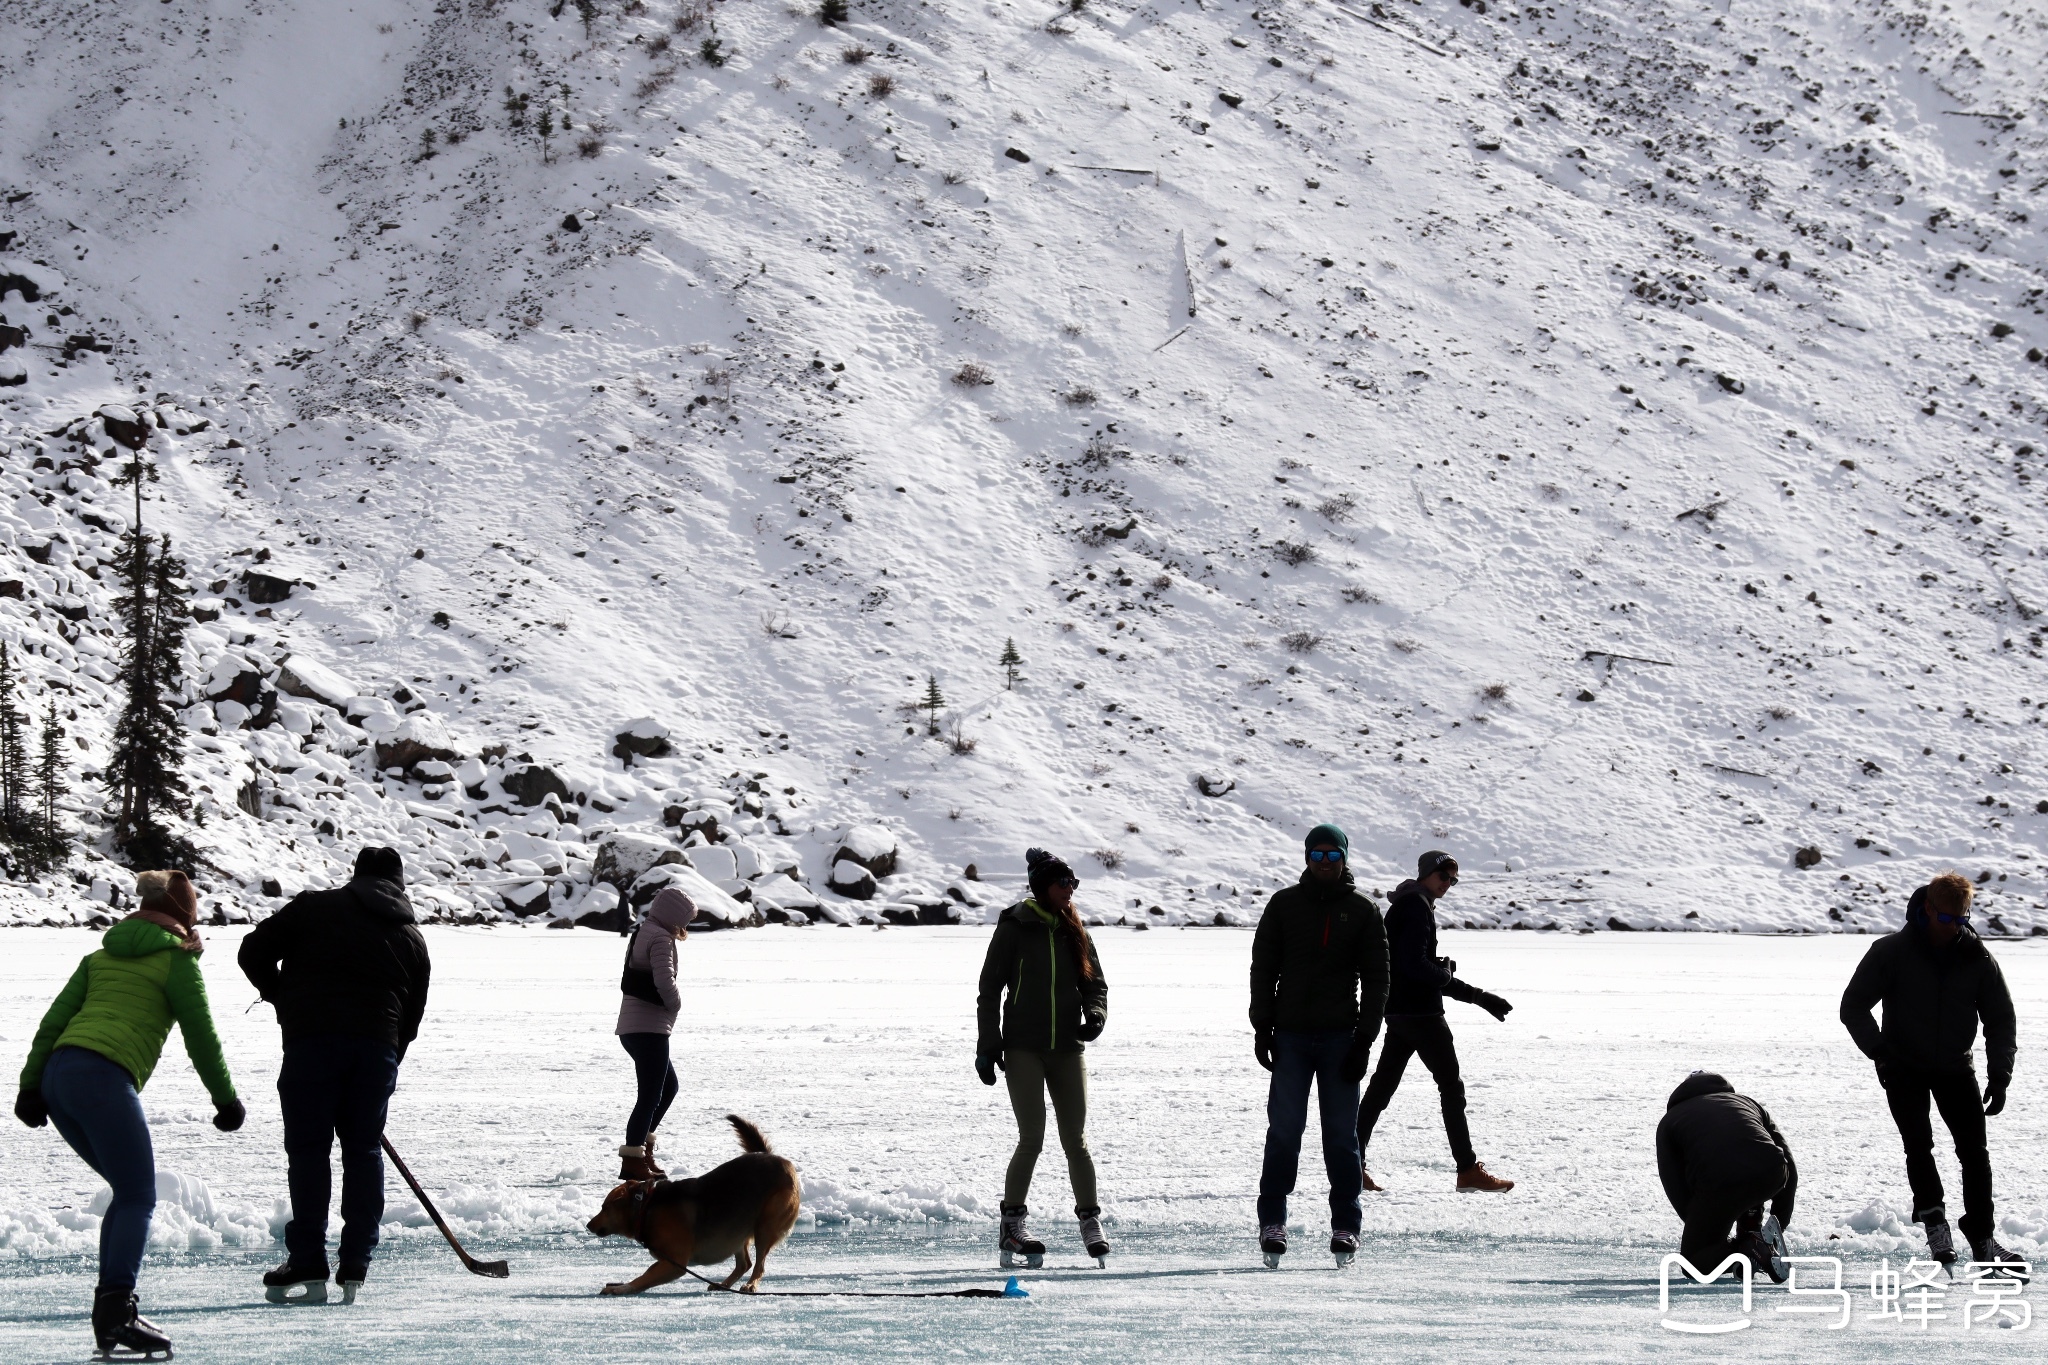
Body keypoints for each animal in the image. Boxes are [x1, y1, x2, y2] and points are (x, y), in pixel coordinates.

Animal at [585, 1113, 798, 1301]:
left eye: (604, 1207)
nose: (588, 1225)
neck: (645, 1208)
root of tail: (778, 1159)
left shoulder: (675, 1263)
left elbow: (644, 1277)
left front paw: (621, 1288)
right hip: (737, 1229)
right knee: (744, 1263)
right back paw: (724, 1284)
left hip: (765, 1226)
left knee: (758, 1264)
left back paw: (751, 1284)